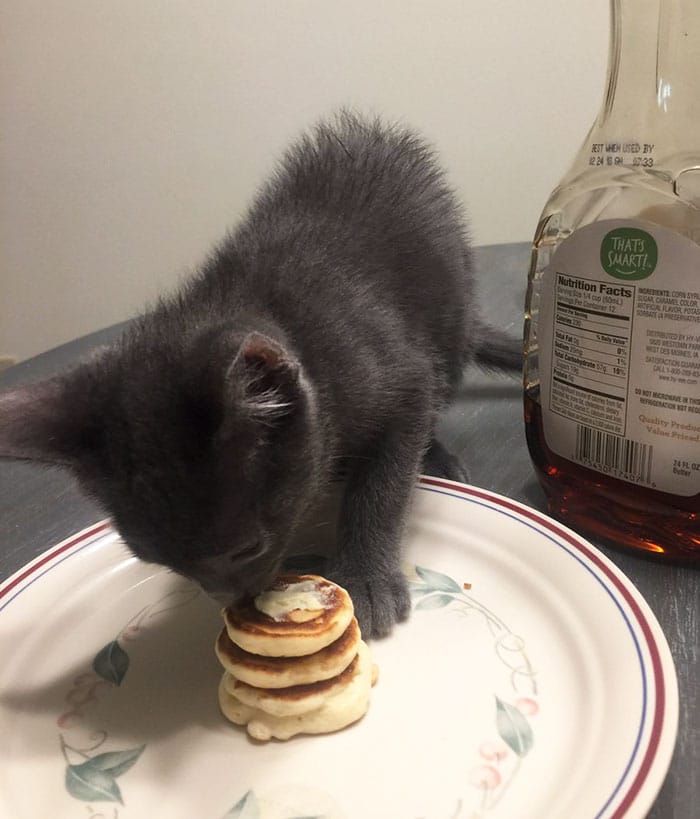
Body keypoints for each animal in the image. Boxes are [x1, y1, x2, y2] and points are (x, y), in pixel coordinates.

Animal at [0, 112, 516, 636]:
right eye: (163, 563)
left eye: (248, 549)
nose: (228, 599)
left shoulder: (403, 375)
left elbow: (384, 480)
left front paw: (365, 576)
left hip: (451, 315)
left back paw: (434, 457)